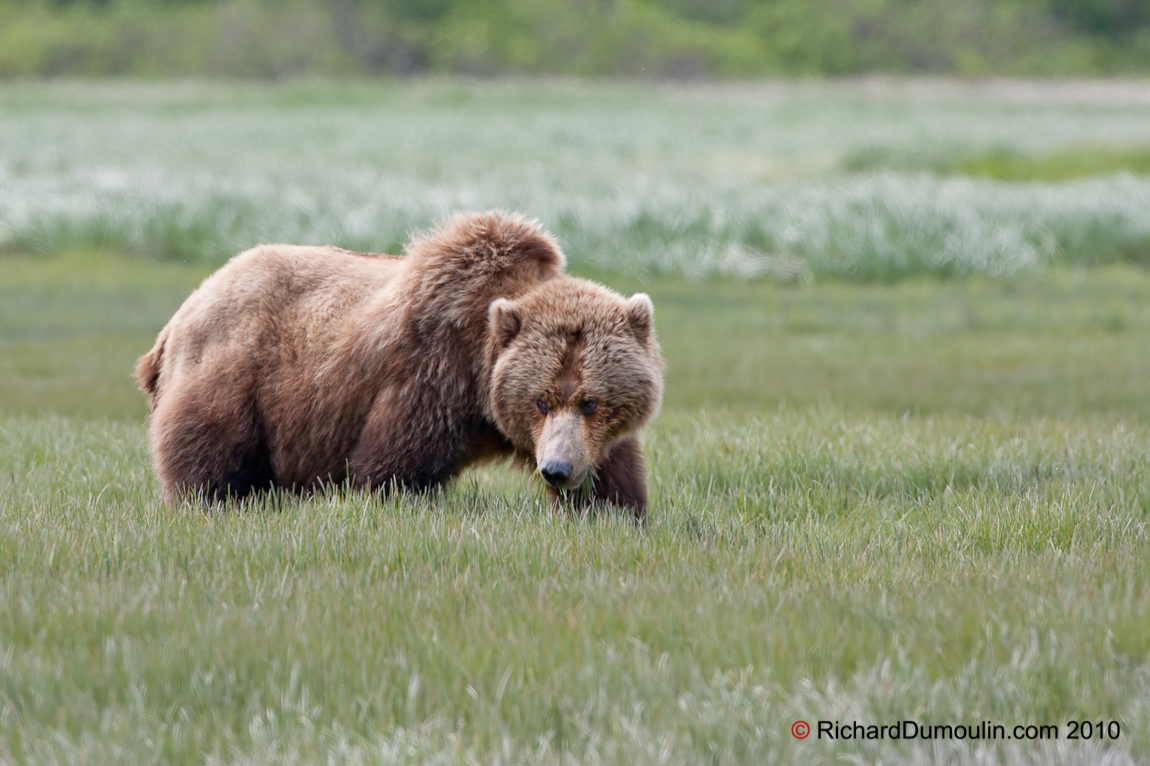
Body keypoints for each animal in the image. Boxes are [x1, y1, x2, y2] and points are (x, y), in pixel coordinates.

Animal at [135, 211, 664, 519]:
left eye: (591, 401)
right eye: (540, 400)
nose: (556, 469)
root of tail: (184, 310)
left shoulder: (591, 437)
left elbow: (614, 477)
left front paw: (612, 510)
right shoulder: (430, 374)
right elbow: (392, 466)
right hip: (236, 372)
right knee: (210, 453)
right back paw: (212, 504)